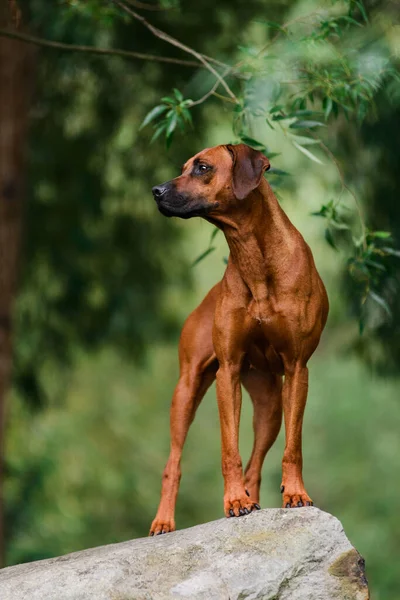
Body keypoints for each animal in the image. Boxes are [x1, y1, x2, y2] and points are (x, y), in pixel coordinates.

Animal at [150, 144, 328, 536]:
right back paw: (164, 520)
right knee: (173, 463)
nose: (155, 190)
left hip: (271, 405)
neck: (254, 256)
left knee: (256, 464)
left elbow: (294, 447)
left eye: (202, 167)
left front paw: (296, 494)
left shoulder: (297, 369)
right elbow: (229, 449)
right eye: (183, 167)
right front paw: (233, 501)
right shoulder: (227, 371)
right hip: (186, 390)